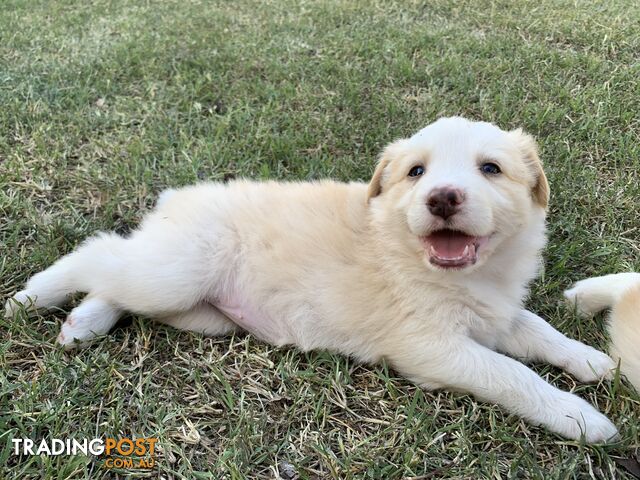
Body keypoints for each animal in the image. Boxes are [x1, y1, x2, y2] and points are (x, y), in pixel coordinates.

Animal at [2, 116, 616, 442]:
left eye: (491, 169)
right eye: (416, 172)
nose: (441, 197)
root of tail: (175, 200)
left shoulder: (496, 314)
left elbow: (536, 330)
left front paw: (592, 360)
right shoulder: (433, 347)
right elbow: (514, 375)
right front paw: (582, 419)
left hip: (201, 311)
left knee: (116, 279)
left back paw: (83, 322)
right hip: (177, 271)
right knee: (98, 253)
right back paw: (30, 297)